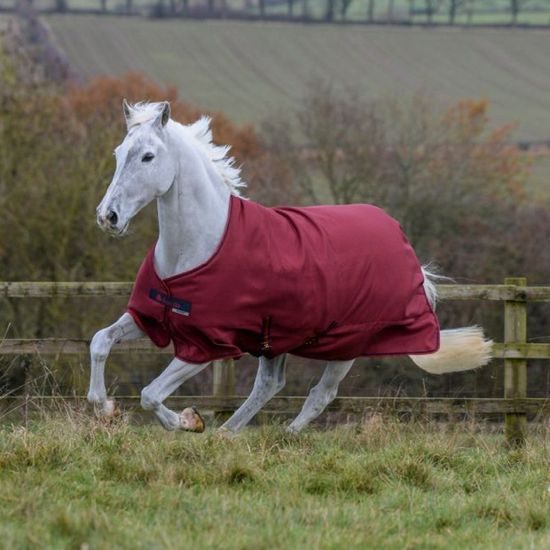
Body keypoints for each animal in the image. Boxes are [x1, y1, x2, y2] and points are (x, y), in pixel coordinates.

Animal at [89, 102, 496, 436]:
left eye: (148, 156)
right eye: (118, 153)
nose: (108, 217)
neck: (195, 247)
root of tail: (402, 240)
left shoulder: (207, 345)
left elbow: (150, 394)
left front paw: (189, 420)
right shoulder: (151, 317)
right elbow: (100, 342)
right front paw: (105, 406)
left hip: (346, 346)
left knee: (321, 394)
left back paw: (282, 435)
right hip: (275, 341)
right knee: (270, 386)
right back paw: (227, 435)